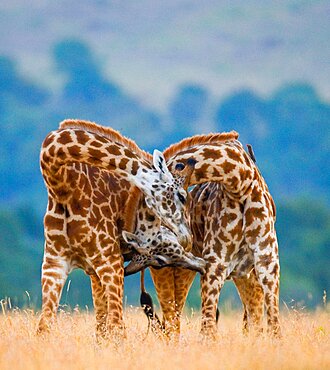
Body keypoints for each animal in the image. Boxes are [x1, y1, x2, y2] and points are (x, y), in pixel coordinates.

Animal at [39, 119, 197, 338]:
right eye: (181, 196)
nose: (187, 238)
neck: (63, 185)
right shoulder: (54, 263)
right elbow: (44, 326)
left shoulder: (110, 261)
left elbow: (117, 327)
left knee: (175, 314)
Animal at [148, 134, 280, 338]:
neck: (241, 183)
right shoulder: (215, 263)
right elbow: (208, 327)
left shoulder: (267, 259)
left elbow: (273, 321)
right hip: (167, 270)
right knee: (171, 320)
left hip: (244, 276)